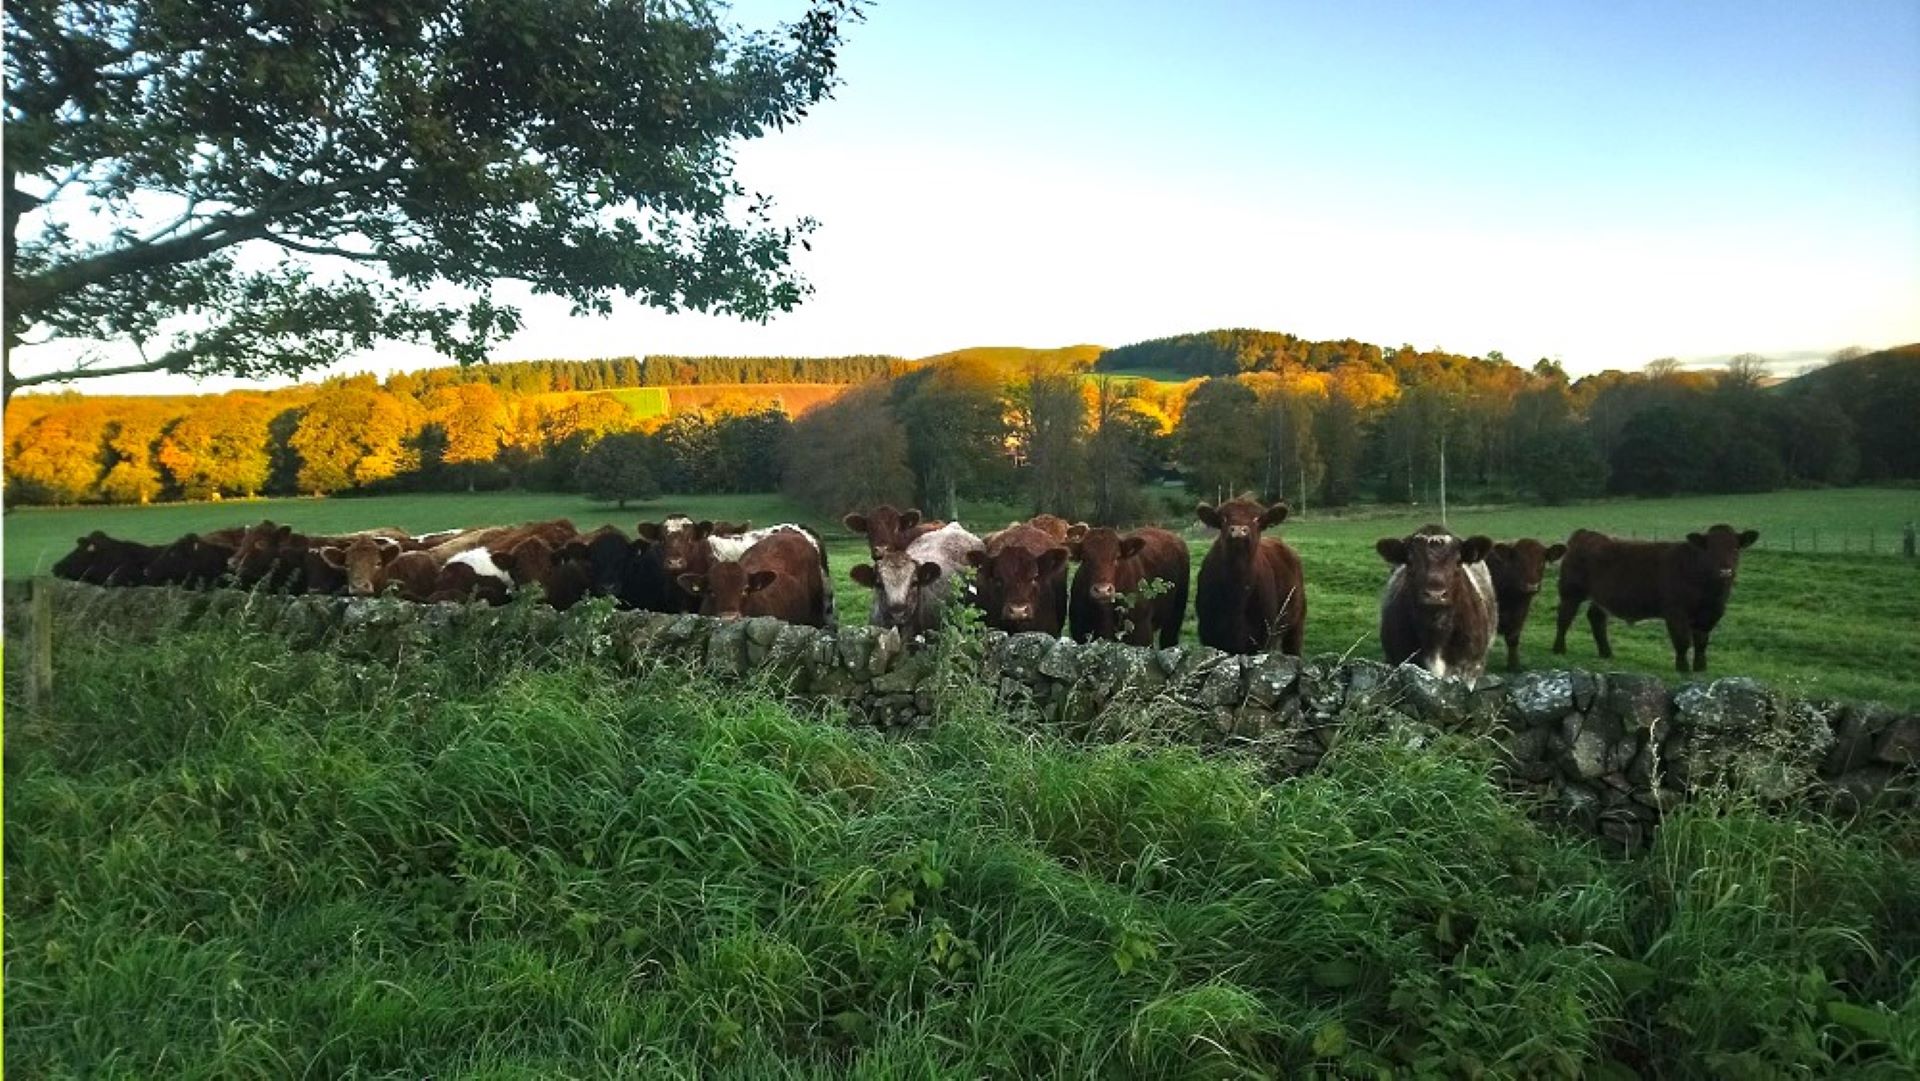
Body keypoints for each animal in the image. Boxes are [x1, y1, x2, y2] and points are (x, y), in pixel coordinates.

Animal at [1194, 498, 1306, 655]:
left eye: (1257, 519)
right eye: (1223, 518)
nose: (1239, 530)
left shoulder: (1263, 639)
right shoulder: (1209, 633)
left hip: (1296, 625)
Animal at [1484, 538, 1567, 671]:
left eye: (1542, 562)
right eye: (1518, 561)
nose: (1532, 586)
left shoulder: (1520, 613)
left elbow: (1513, 638)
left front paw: (1514, 666)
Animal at [1552, 524, 1759, 673]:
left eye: (1736, 548)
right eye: (1709, 549)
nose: (1725, 571)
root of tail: (1586, 533)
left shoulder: (1712, 613)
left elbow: (1701, 642)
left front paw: (1700, 668)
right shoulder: (1675, 612)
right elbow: (1683, 640)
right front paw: (1683, 668)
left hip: (1600, 597)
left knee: (1596, 618)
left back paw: (1606, 653)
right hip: (1570, 592)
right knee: (1564, 618)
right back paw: (1559, 649)